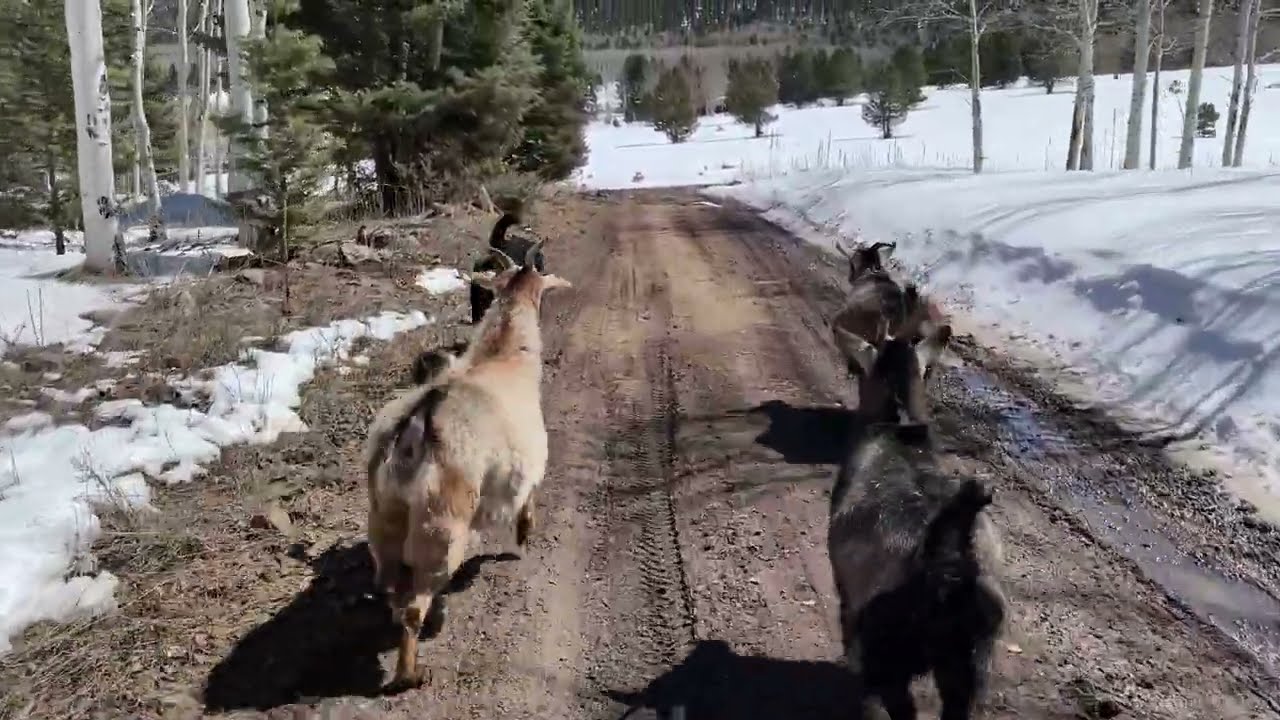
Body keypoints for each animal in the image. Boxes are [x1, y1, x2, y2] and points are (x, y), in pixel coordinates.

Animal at [365, 240, 571, 690]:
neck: (502, 358)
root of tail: (414, 429)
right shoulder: (530, 461)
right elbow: (529, 498)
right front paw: (524, 535)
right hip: (441, 527)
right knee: (414, 605)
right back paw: (410, 673)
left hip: (384, 517)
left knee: (390, 587)